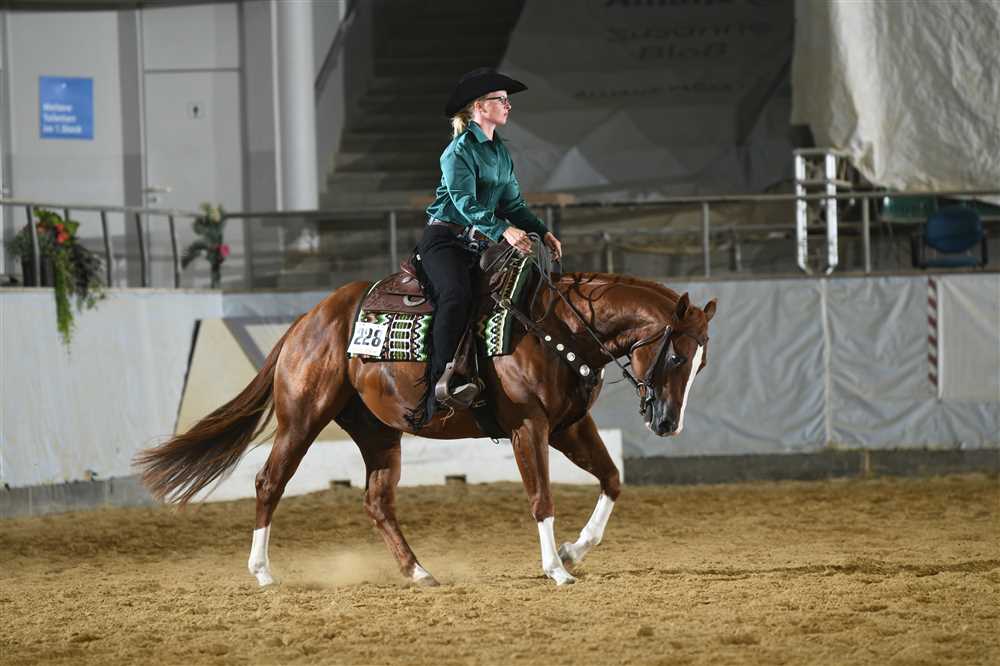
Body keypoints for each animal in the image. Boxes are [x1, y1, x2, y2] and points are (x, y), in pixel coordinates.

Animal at [135, 264, 717, 587]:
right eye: (673, 357)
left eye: (700, 365)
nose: (668, 422)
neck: (556, 327)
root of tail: (307, 320)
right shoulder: (530, 427)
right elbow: (541, 498)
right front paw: (557, 568)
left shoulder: (569, 425)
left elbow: (612, 479)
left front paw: (576, 550)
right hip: (301, 419)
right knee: (268, 482)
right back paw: (261, 572)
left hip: (377, 432)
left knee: (377, 502)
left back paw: (419, 571)